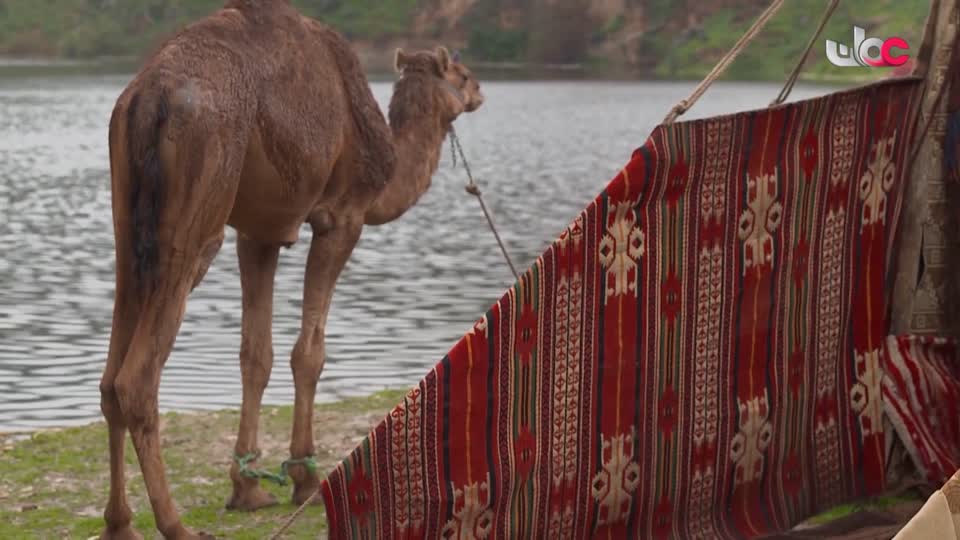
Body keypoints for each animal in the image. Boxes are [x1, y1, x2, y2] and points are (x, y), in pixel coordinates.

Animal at [97, 2, 480, 536]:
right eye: (461, 75)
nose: (479, 90)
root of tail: (148, 98)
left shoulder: (259, 233)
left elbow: (255, 355)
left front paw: (248, 488)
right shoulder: (341, 216)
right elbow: (309, 354)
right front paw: (304, 478)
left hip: (128, 222)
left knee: (110, 377)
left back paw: (120, 522)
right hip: (198, 210)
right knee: (137, 378)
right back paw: (175, 524)